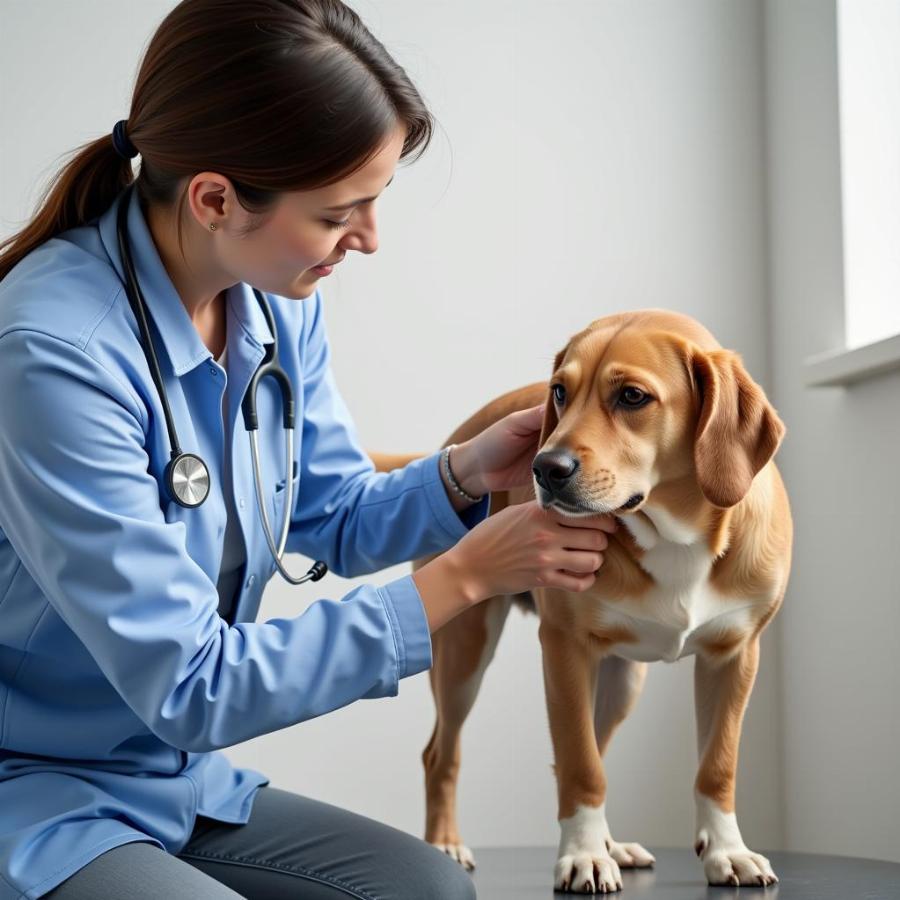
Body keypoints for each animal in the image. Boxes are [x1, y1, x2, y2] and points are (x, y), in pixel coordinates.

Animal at [370, 310, 792, 892]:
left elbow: (717, 766)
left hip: (620, 682)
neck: (676, 534)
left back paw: (615, 844)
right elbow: (580, 765)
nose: (545, 468)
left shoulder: (734, 656)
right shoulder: (565, 649)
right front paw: (584, 855)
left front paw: (727, 850)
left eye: (632, 396)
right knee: (441, 754)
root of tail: (456, 440)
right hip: (464, 653)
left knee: (599, 744)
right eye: (560, 392)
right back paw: (445, 843)